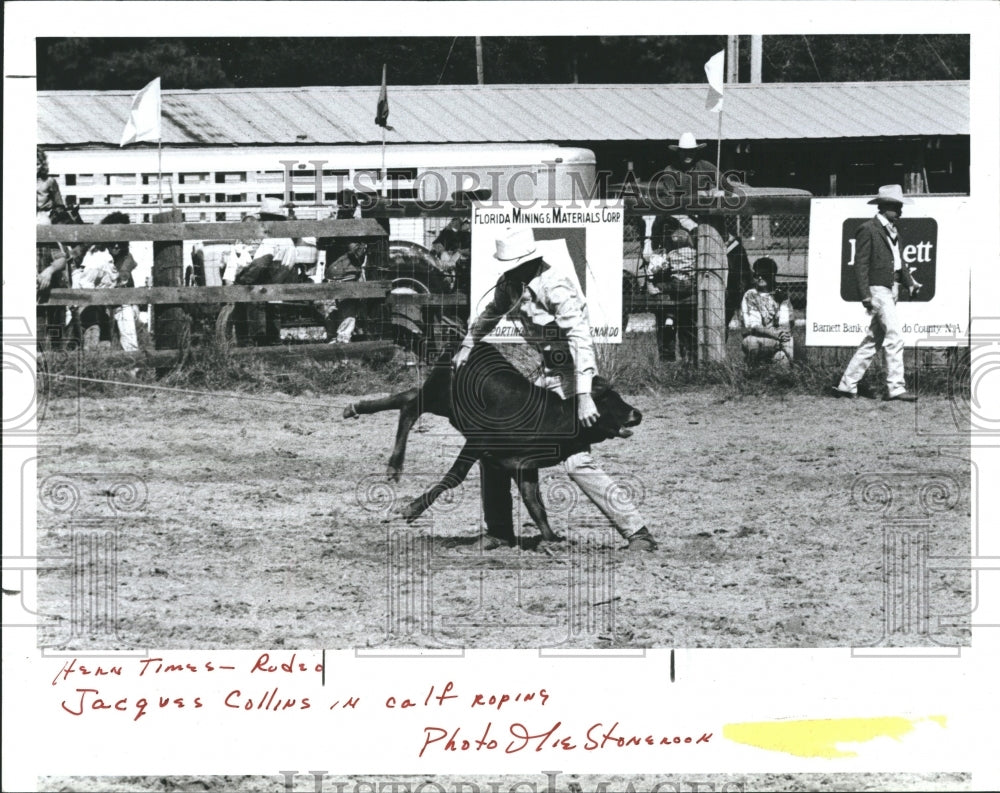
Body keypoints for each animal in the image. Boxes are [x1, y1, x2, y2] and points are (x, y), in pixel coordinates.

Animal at [344, 340, 640, 540]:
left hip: (443, 403)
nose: (637, 413)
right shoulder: (477, 441)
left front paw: (552, 539)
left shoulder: (523, 465)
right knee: (409, 407)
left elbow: (535, 504)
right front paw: (411, 509)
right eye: (610, 400)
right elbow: (455, 476)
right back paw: (394, 466)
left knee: (406, 397)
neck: (554, 418)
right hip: (438, 392)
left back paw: (354, 408)